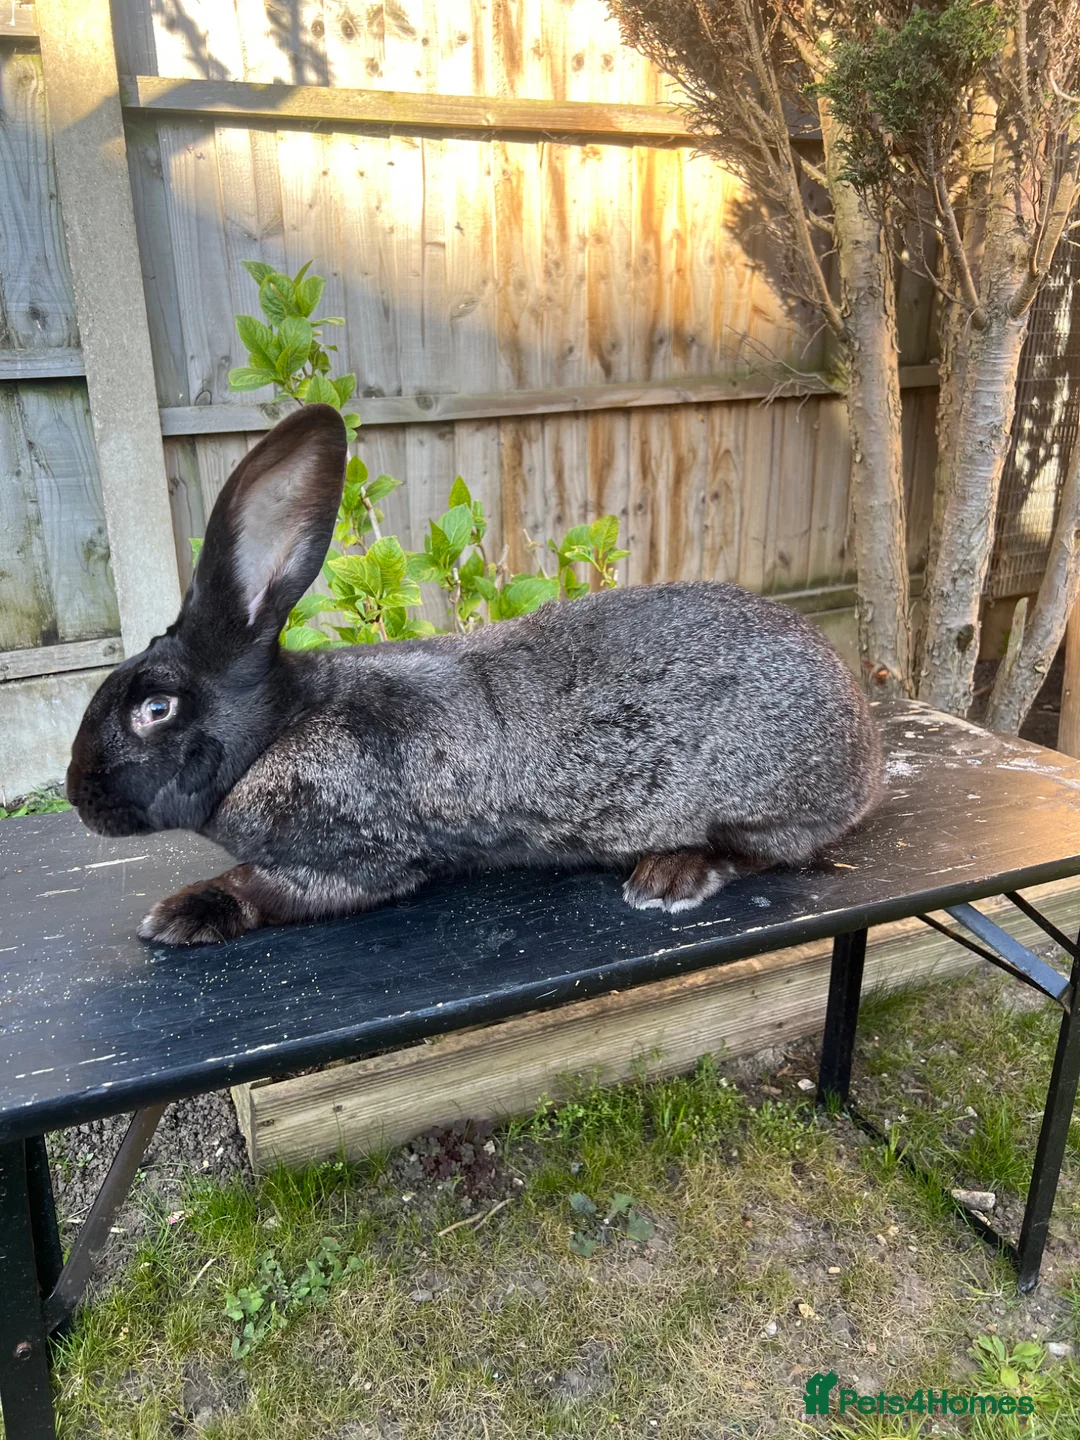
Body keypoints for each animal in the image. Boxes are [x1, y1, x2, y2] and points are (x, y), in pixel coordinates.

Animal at [66, 403, 884, 946]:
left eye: (156, 709)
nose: (78, 795)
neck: (277, 731)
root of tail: (866, 747)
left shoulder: (357, 857)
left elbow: (257, 888)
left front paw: (177, 915)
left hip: (761, 804)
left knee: (760, 850)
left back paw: (668, 879)